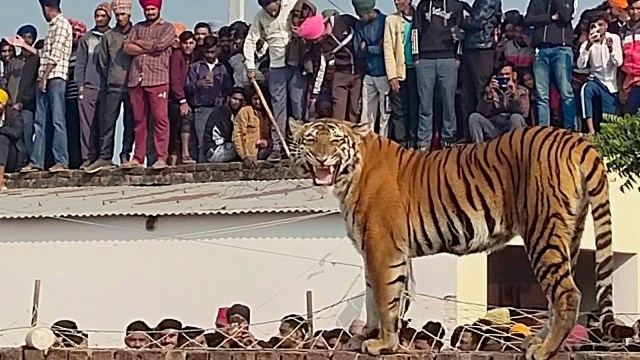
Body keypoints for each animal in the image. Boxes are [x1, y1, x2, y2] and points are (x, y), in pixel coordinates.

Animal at [288, 120, 636, 360]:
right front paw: (363, 340)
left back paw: (544, 349)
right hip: (569, 233)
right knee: (557, 294)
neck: (349, 175)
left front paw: (383, 343)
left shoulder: (382, 248)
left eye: (335, 140)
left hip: (543, 231)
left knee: (567, 293)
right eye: (311, 140)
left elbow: (385, 300)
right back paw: (536, 341)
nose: (321, 159)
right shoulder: (377, 250)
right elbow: (376, 297)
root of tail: (573, 137)